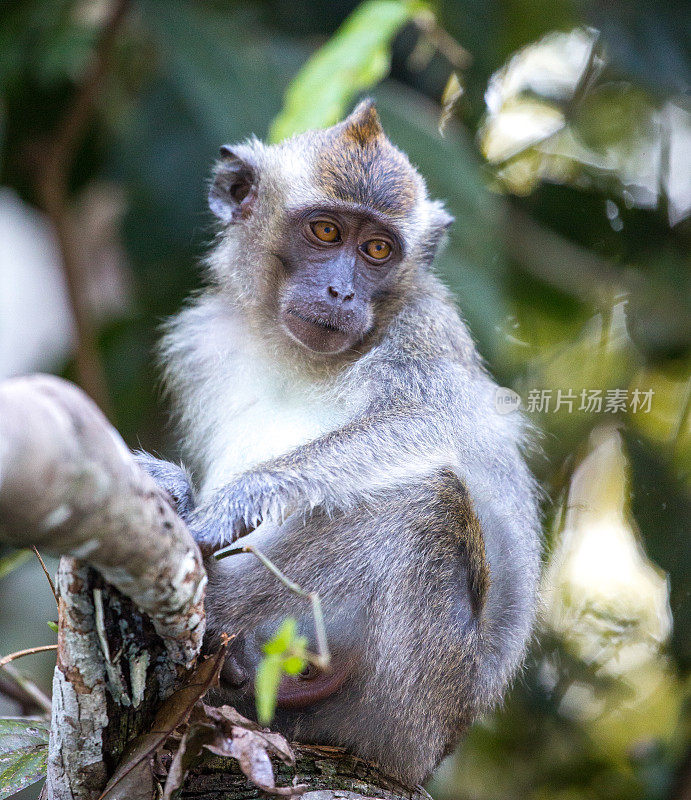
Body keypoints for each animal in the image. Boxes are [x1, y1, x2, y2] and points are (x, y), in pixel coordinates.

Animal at [138, 100, 544, 788]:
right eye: (326, 232)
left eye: (377, 249)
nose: (340, 292)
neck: (297, 355)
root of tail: (442, 744)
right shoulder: (204, 342)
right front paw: (176, 487)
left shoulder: (421, 332)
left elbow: (434, 422)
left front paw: (233, 501)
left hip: (412, 701)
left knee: (424, 508)